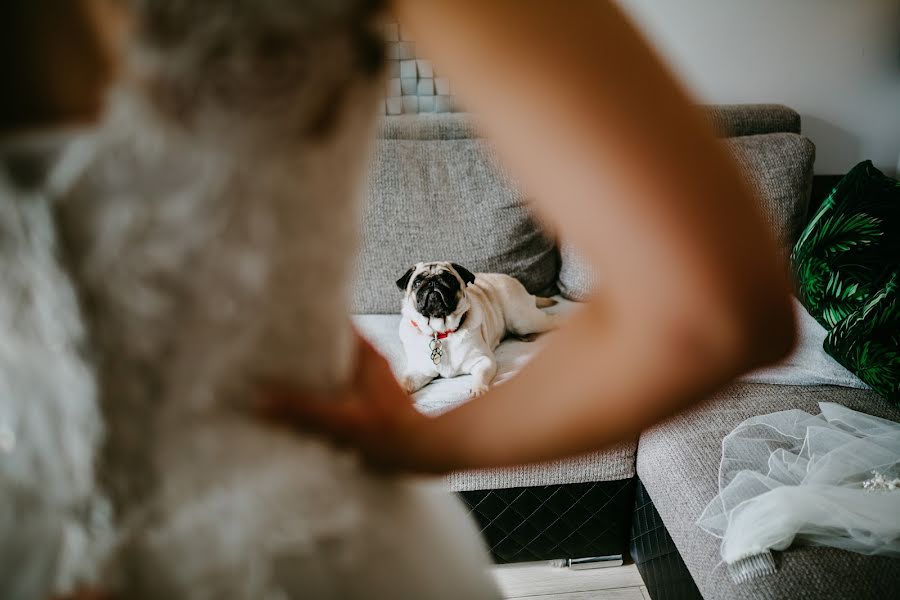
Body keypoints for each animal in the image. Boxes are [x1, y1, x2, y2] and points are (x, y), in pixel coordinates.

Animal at [398, 260, 560, 396]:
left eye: (450, 279)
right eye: (417, 282)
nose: (433, 282)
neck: (441, 332)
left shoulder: (484, 361)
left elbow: (480, 377)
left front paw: (478, 389)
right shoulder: (418, 371)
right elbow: (404, 382)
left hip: (523, 320)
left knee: (552, 319)